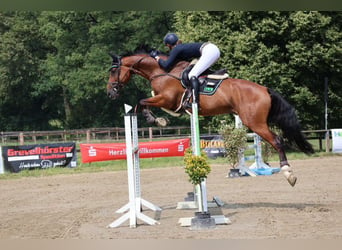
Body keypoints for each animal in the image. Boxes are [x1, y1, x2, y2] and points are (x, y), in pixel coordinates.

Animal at [106, 47, 312, 187]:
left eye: (113, 71)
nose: (110, 93)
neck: (162, 71)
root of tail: (265, 89)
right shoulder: (169, 103)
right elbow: (143, 102)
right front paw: (158, 119)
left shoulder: (167, 99)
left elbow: (141, 102)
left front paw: (154, 119)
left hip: (255, 123)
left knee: (277, 141)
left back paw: (288, 173)